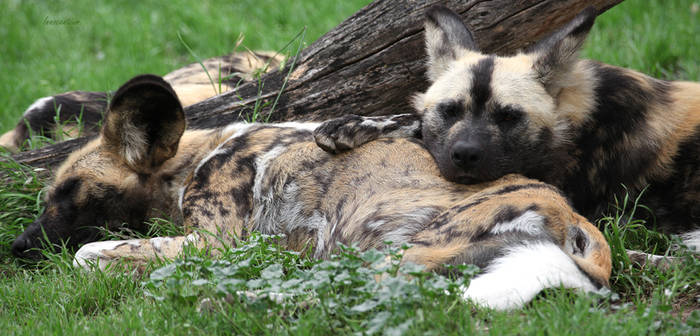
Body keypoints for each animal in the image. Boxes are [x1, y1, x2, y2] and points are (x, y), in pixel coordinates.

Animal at [10, 74, 612, 310]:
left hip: (391, 250)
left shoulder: (218, 243)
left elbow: (88, 254)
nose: (15, 248)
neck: (192, 162)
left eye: (71, 192)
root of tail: (576, 221)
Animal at [316, 5, 700, 252]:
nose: (465, 155)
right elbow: (416, 124)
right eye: (450, 110)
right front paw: (351, 125)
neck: (578, 119)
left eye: (508, 117)